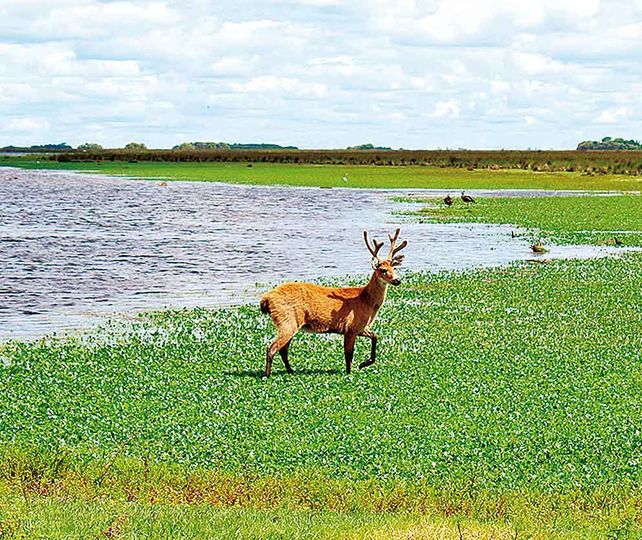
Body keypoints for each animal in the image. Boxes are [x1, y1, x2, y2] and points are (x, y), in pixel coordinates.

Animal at [259, 228, 408, 377]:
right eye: (383, 270)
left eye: (394, 268)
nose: (397, 280)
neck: (367, 301)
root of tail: (266, 299)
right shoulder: (351, 327)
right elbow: (349, 354)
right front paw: (350, 372)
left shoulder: (360, 327)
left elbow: (375, 336)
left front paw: (364, 364)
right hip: (287, 320)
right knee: (272, 347)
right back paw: (267, 375)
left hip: (291, 323)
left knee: (283, 349)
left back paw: (290, 370)